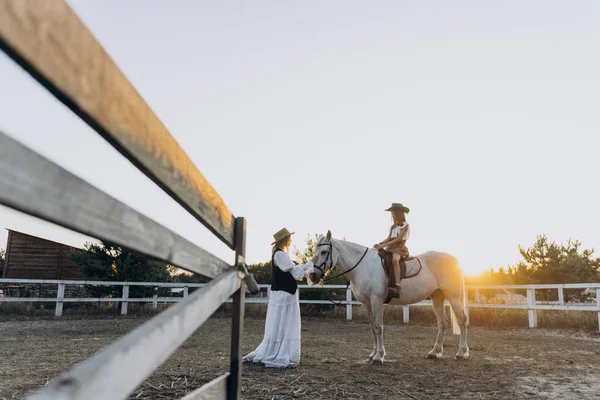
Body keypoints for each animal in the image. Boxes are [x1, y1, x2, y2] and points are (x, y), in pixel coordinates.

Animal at [310, 230, 468, 364]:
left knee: (462, 321)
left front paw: (379, 357)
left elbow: (379, 327)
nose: (312, 275)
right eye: (315, 251)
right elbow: (372, 327)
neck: (363, 267)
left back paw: (461, 353)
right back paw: (434, 352)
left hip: (453, 297)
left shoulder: (377, 301)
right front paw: (372, 354)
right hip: (437, 298)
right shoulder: (366, 303)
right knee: (442, 323)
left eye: (324, 252)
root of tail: (455, 261)